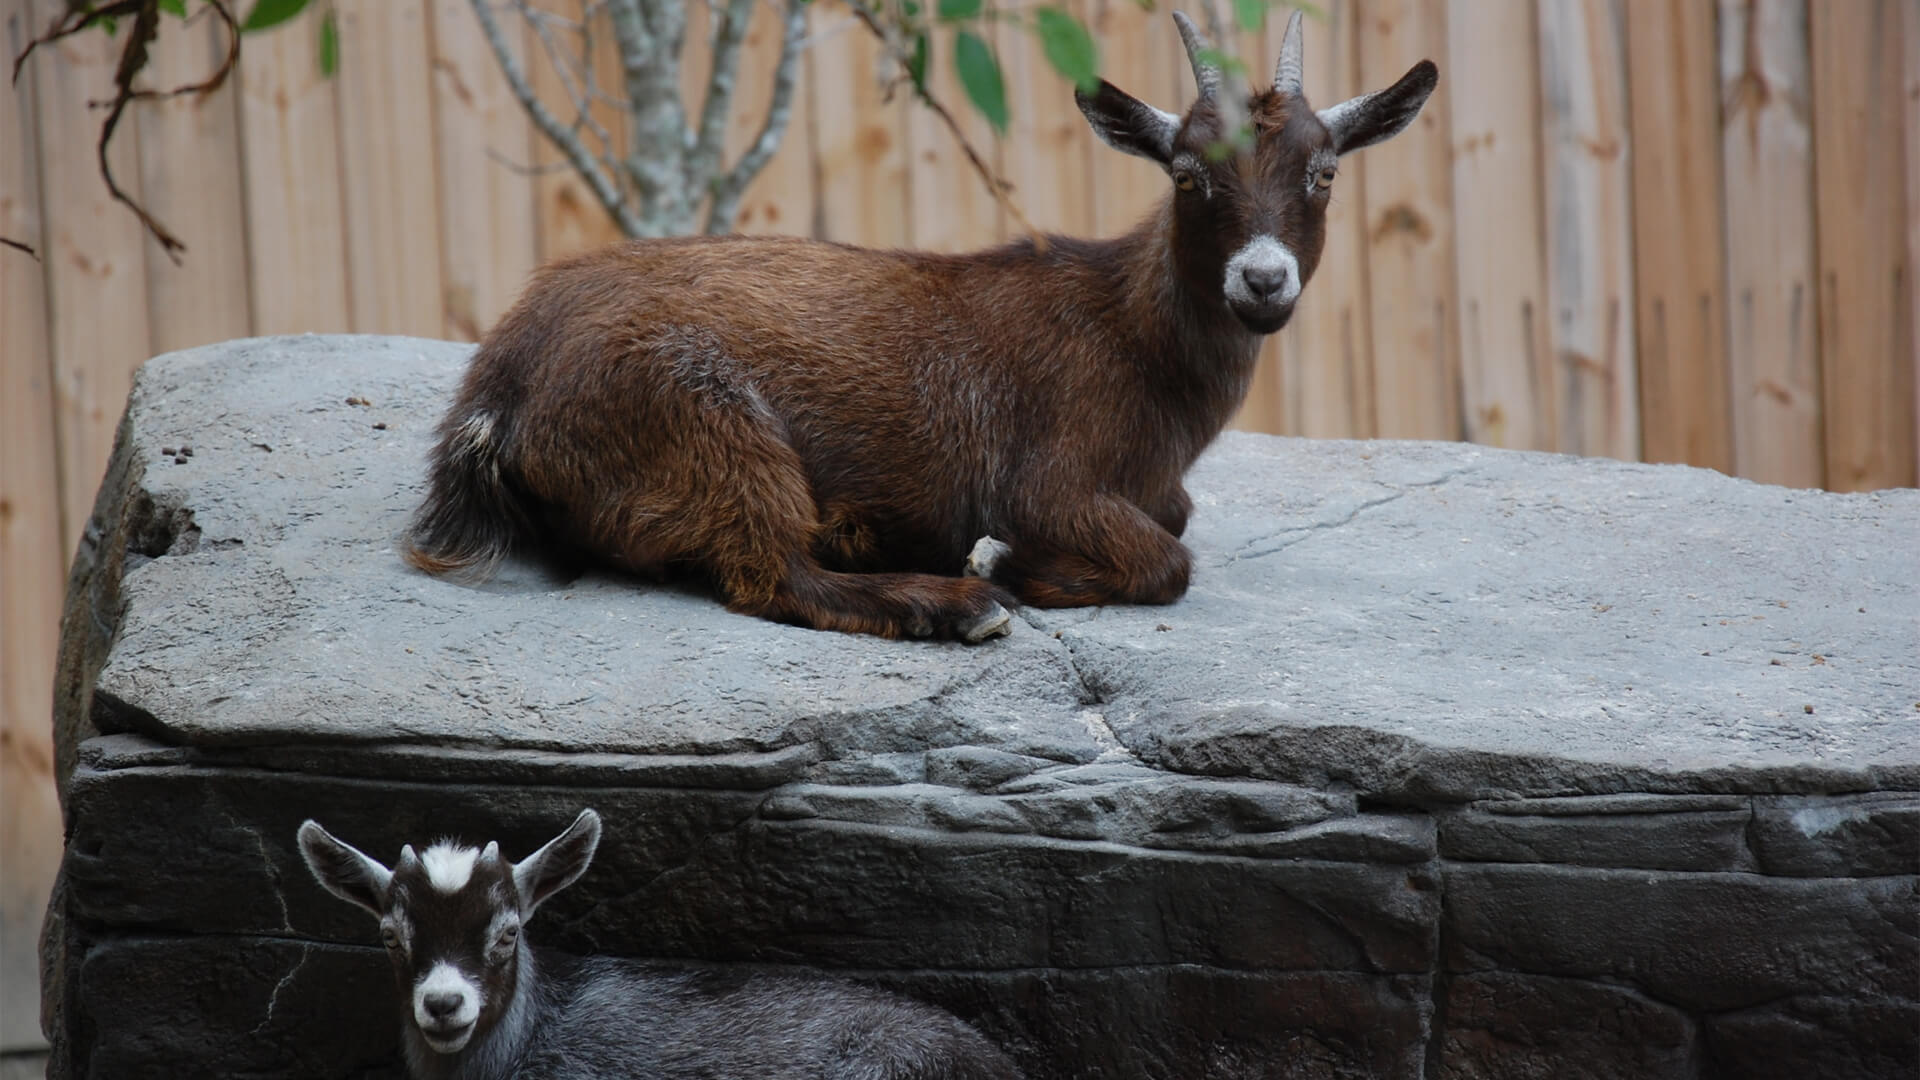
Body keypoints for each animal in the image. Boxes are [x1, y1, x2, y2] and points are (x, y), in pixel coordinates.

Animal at [408, 10, 1443, 638]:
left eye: (1324, 173)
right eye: (1189, 175)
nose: (1262, 280)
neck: (1133, 339)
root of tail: (498, 386)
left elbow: (1180, 519)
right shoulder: (1049, 479)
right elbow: (1167, 557)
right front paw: (1015, 565)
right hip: (709, 423)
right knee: (769, 575)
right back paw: (952, 601)